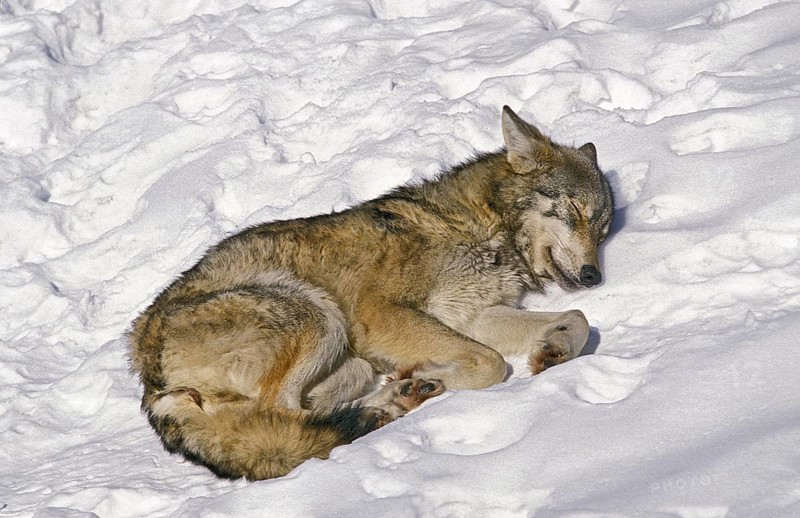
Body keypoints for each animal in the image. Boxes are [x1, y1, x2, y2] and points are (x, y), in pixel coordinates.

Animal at [129, 106, 614, 480]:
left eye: (603, 227)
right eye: (574, 211)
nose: (593, 276)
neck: (486, 228)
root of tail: (147, 376)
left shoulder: (476, 315)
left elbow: (577, 319)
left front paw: (555, 350)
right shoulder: (382, 314)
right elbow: (490, 363)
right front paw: (436, 373)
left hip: (350, 364)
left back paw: (395, 400)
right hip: (319, 316)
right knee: (279, 416)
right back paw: (403, 394)